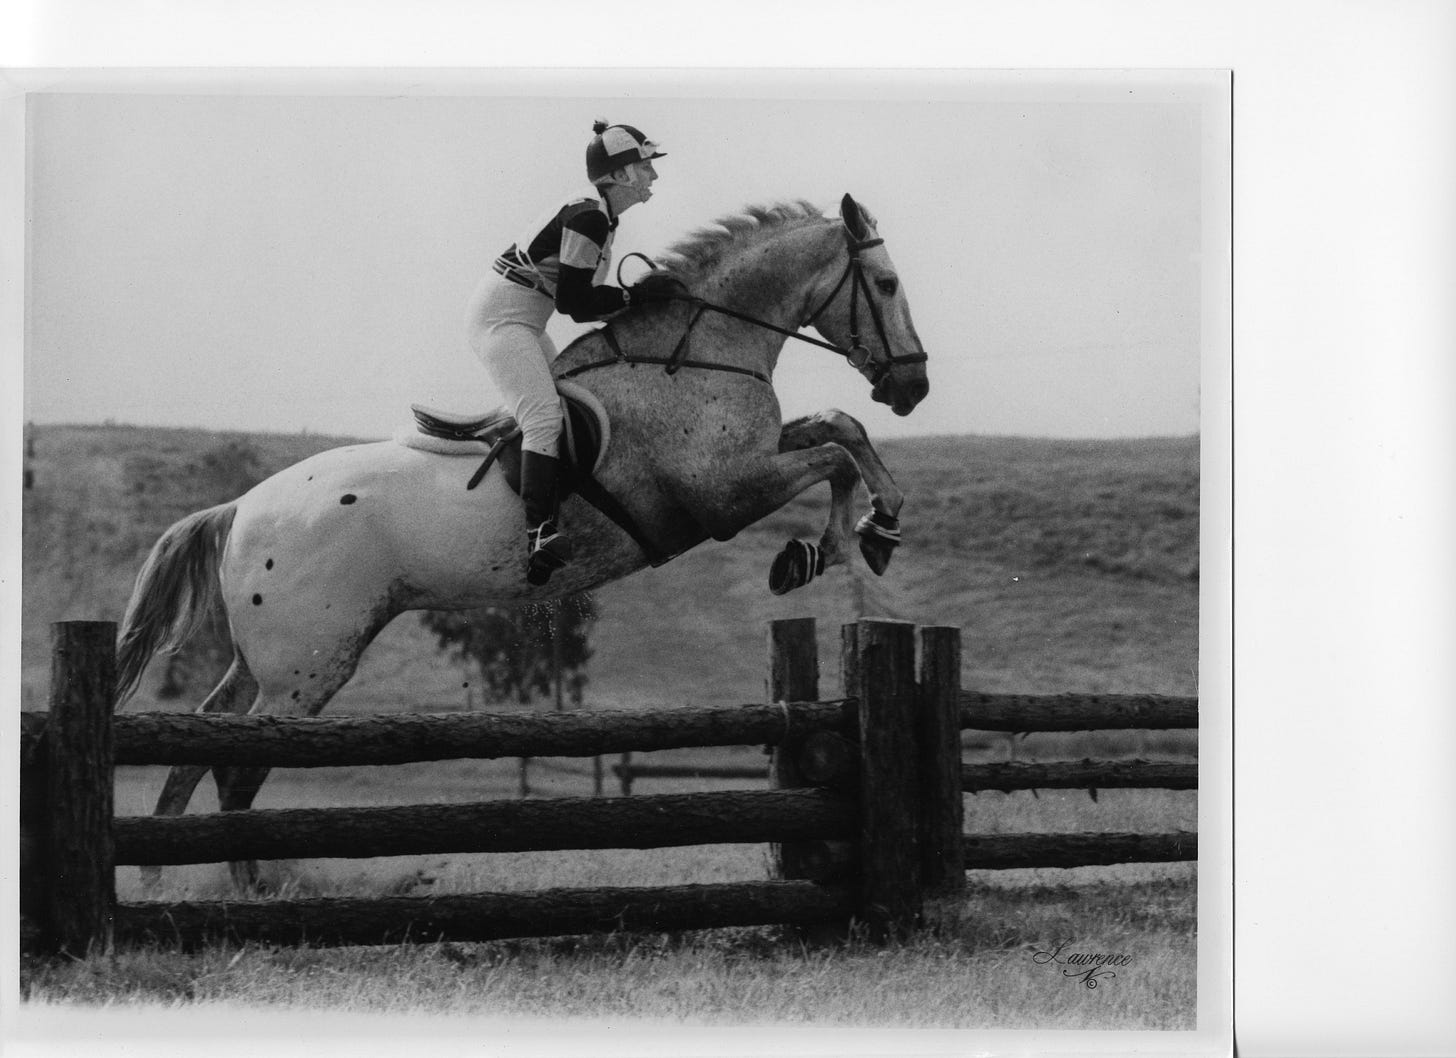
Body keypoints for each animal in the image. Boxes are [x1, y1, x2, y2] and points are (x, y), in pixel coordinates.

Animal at [115, 193, 930, 888]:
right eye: (887, 284)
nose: (912, 388)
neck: (701, 352)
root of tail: (240, 507)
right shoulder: (724, 492)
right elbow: (834, 454)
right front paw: (834, 546)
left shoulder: (754, 463)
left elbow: (838, 429)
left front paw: (871, 530)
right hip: (305, 667)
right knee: (238, 768)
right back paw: (250, 888)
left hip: (264, 660)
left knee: (203, 742)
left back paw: (162, 876)